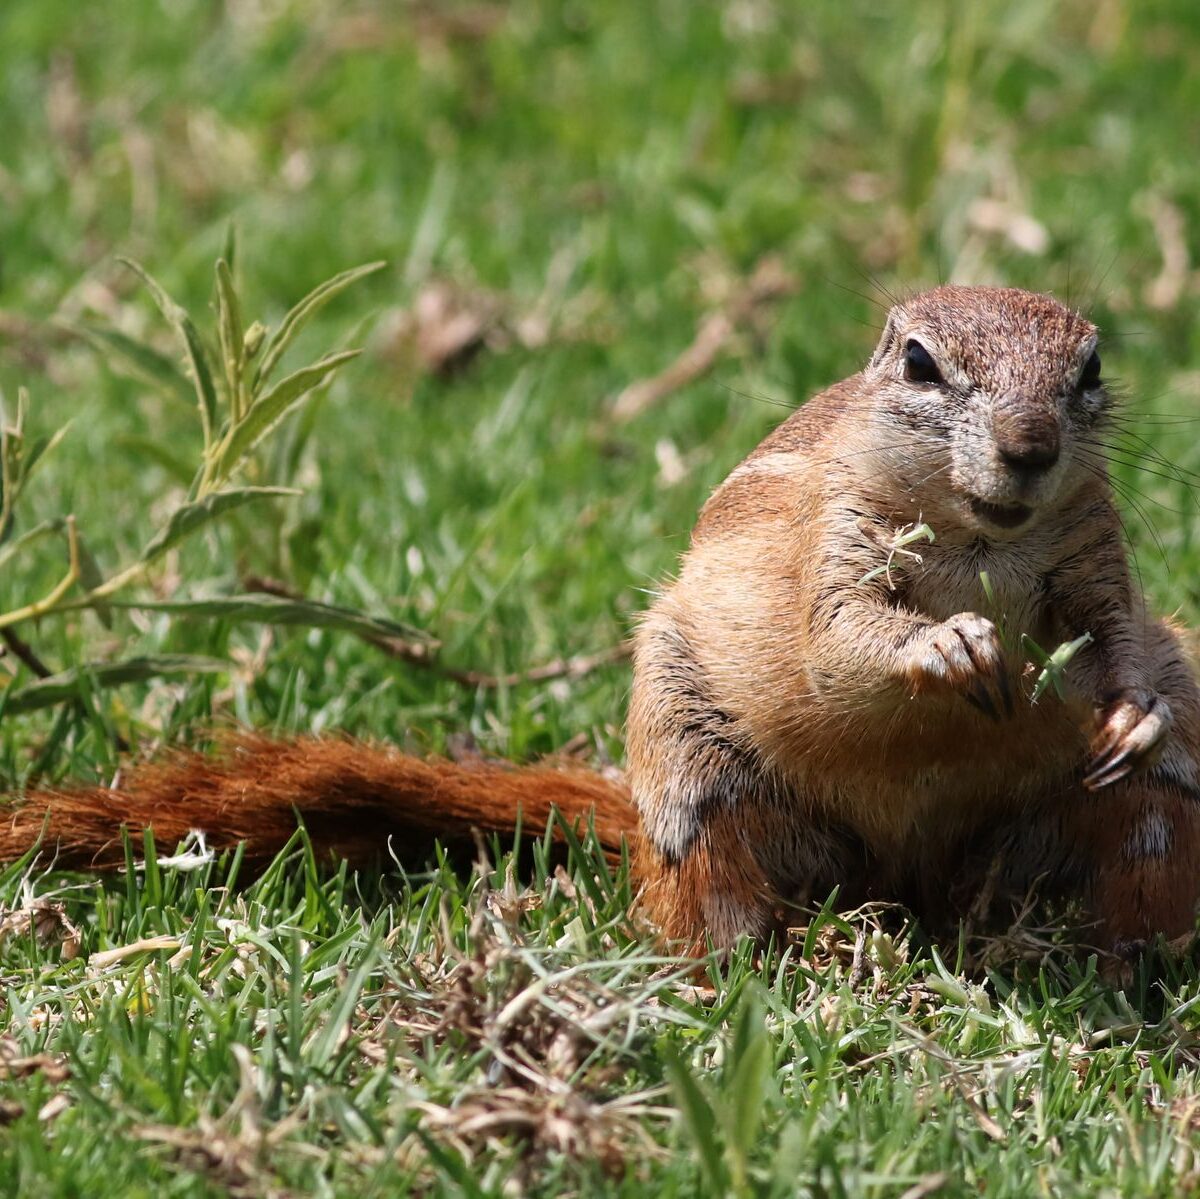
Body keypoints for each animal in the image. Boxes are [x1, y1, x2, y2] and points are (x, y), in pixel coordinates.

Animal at [3, 285, 1198, 956]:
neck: (981, 541)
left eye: (1090, 368)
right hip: (697, 778)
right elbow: (841, 637)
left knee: (1142, 836)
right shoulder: (832, 543)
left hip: (1154, 806)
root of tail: (921, 877)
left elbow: (1115, 634)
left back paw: (1114, 957)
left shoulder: (1098, 555)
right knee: (705, 889)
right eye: (919, 363)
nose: (1032, 446)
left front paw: (1129, 706)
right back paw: (761, 961)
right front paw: (948, 645)